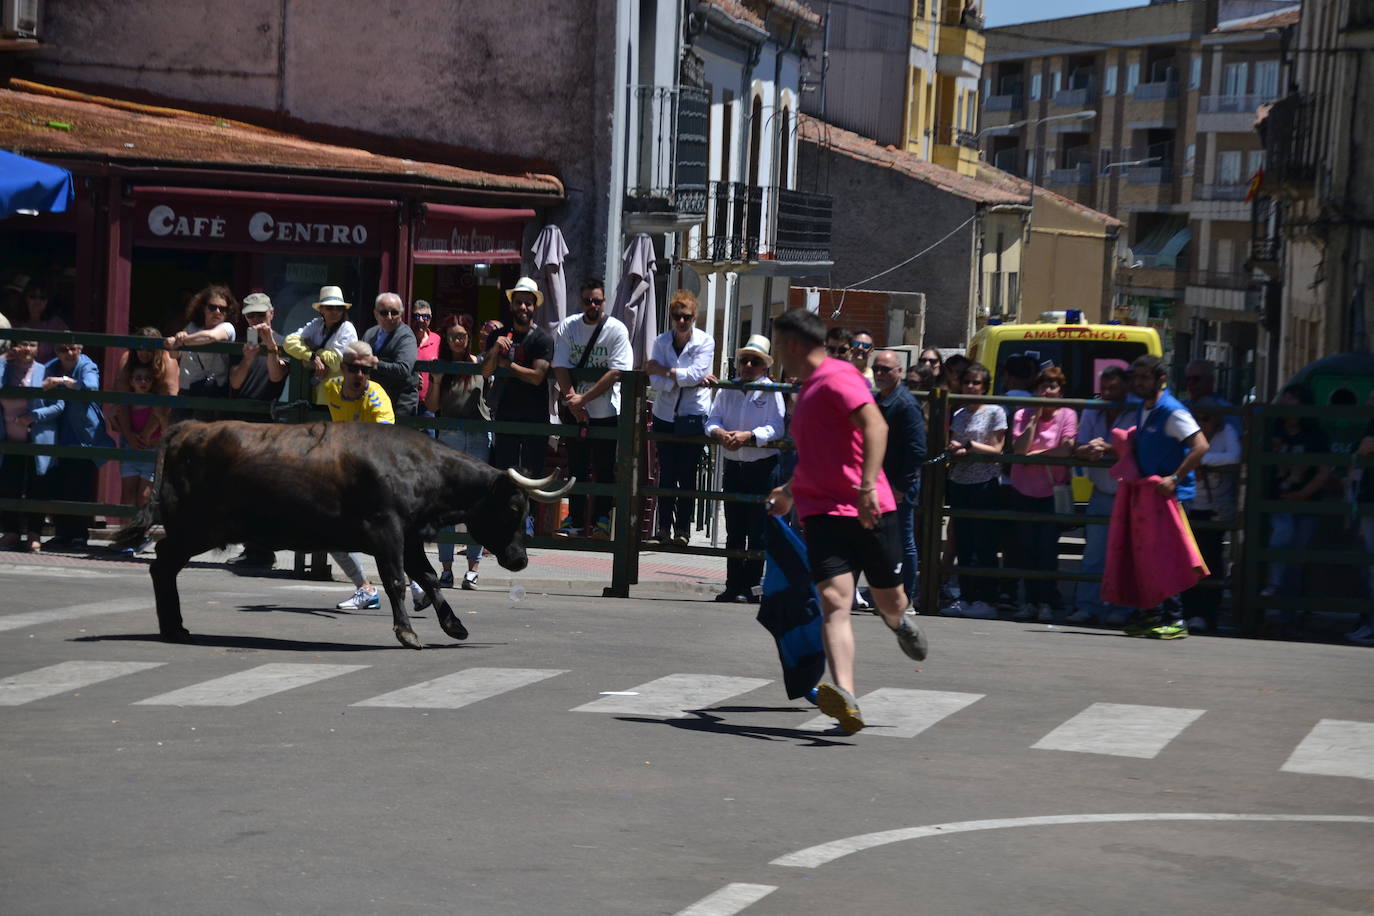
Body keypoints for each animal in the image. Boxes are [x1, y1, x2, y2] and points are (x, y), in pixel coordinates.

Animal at [111, 422, 574, 650]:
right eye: (513, 508)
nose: (520, 560)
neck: (417, 466)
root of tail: (188, 428)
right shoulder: (385, 530)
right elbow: (397, 581)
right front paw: (407, 632)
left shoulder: (407, 536)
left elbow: (425, 577)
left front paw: (454, 624)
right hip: (197, 526)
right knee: (163, 563)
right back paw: (173, 626)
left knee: (164, 564)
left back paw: (174, 627)